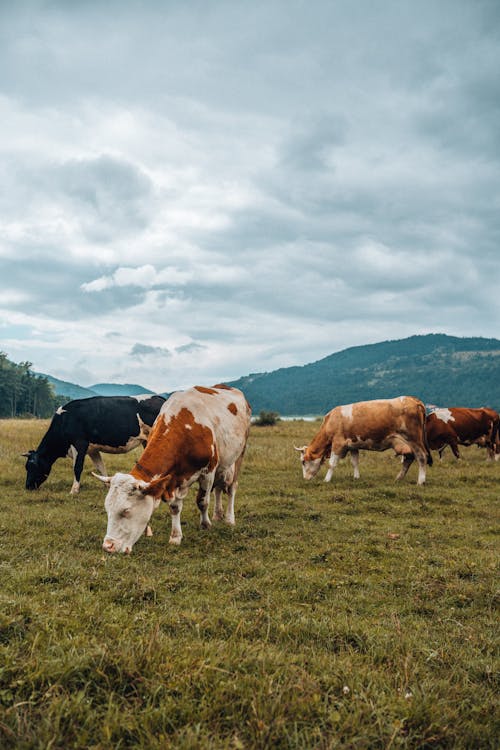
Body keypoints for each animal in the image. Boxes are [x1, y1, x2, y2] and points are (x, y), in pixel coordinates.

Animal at [23, 396, 165, 496]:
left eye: (32, 466)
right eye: (26, 467)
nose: (27, 486)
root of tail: (159, 398)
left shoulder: (79, 443)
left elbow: (77, 467)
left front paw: (74, 491)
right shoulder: (92, 450)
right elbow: (100, 467)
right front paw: (108, 486)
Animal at [93, 384, 250, 556]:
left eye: (126, 510)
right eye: (107, 509)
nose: (108, 546)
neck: (184, 427)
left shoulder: (208, 470)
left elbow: (202, 501)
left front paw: (205, 525)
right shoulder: (173, 478)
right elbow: (174, 507)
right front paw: (175, 537)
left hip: (240, 453)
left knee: (231, 487)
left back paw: (229, 519)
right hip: (223, 463)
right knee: (219, 488)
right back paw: (217, 514)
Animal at [294, 396, 432, 484]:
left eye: (303, 461)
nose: (305, 478)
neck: (331, 420)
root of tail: (413, 399)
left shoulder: (338, 444)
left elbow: (332, 464)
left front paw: (327, 480)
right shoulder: (353, 445)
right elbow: (355, 462)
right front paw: (356, 477)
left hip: (414, 440)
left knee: (421, 457)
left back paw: (421, 481)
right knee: (409, 459)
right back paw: (399, 478)